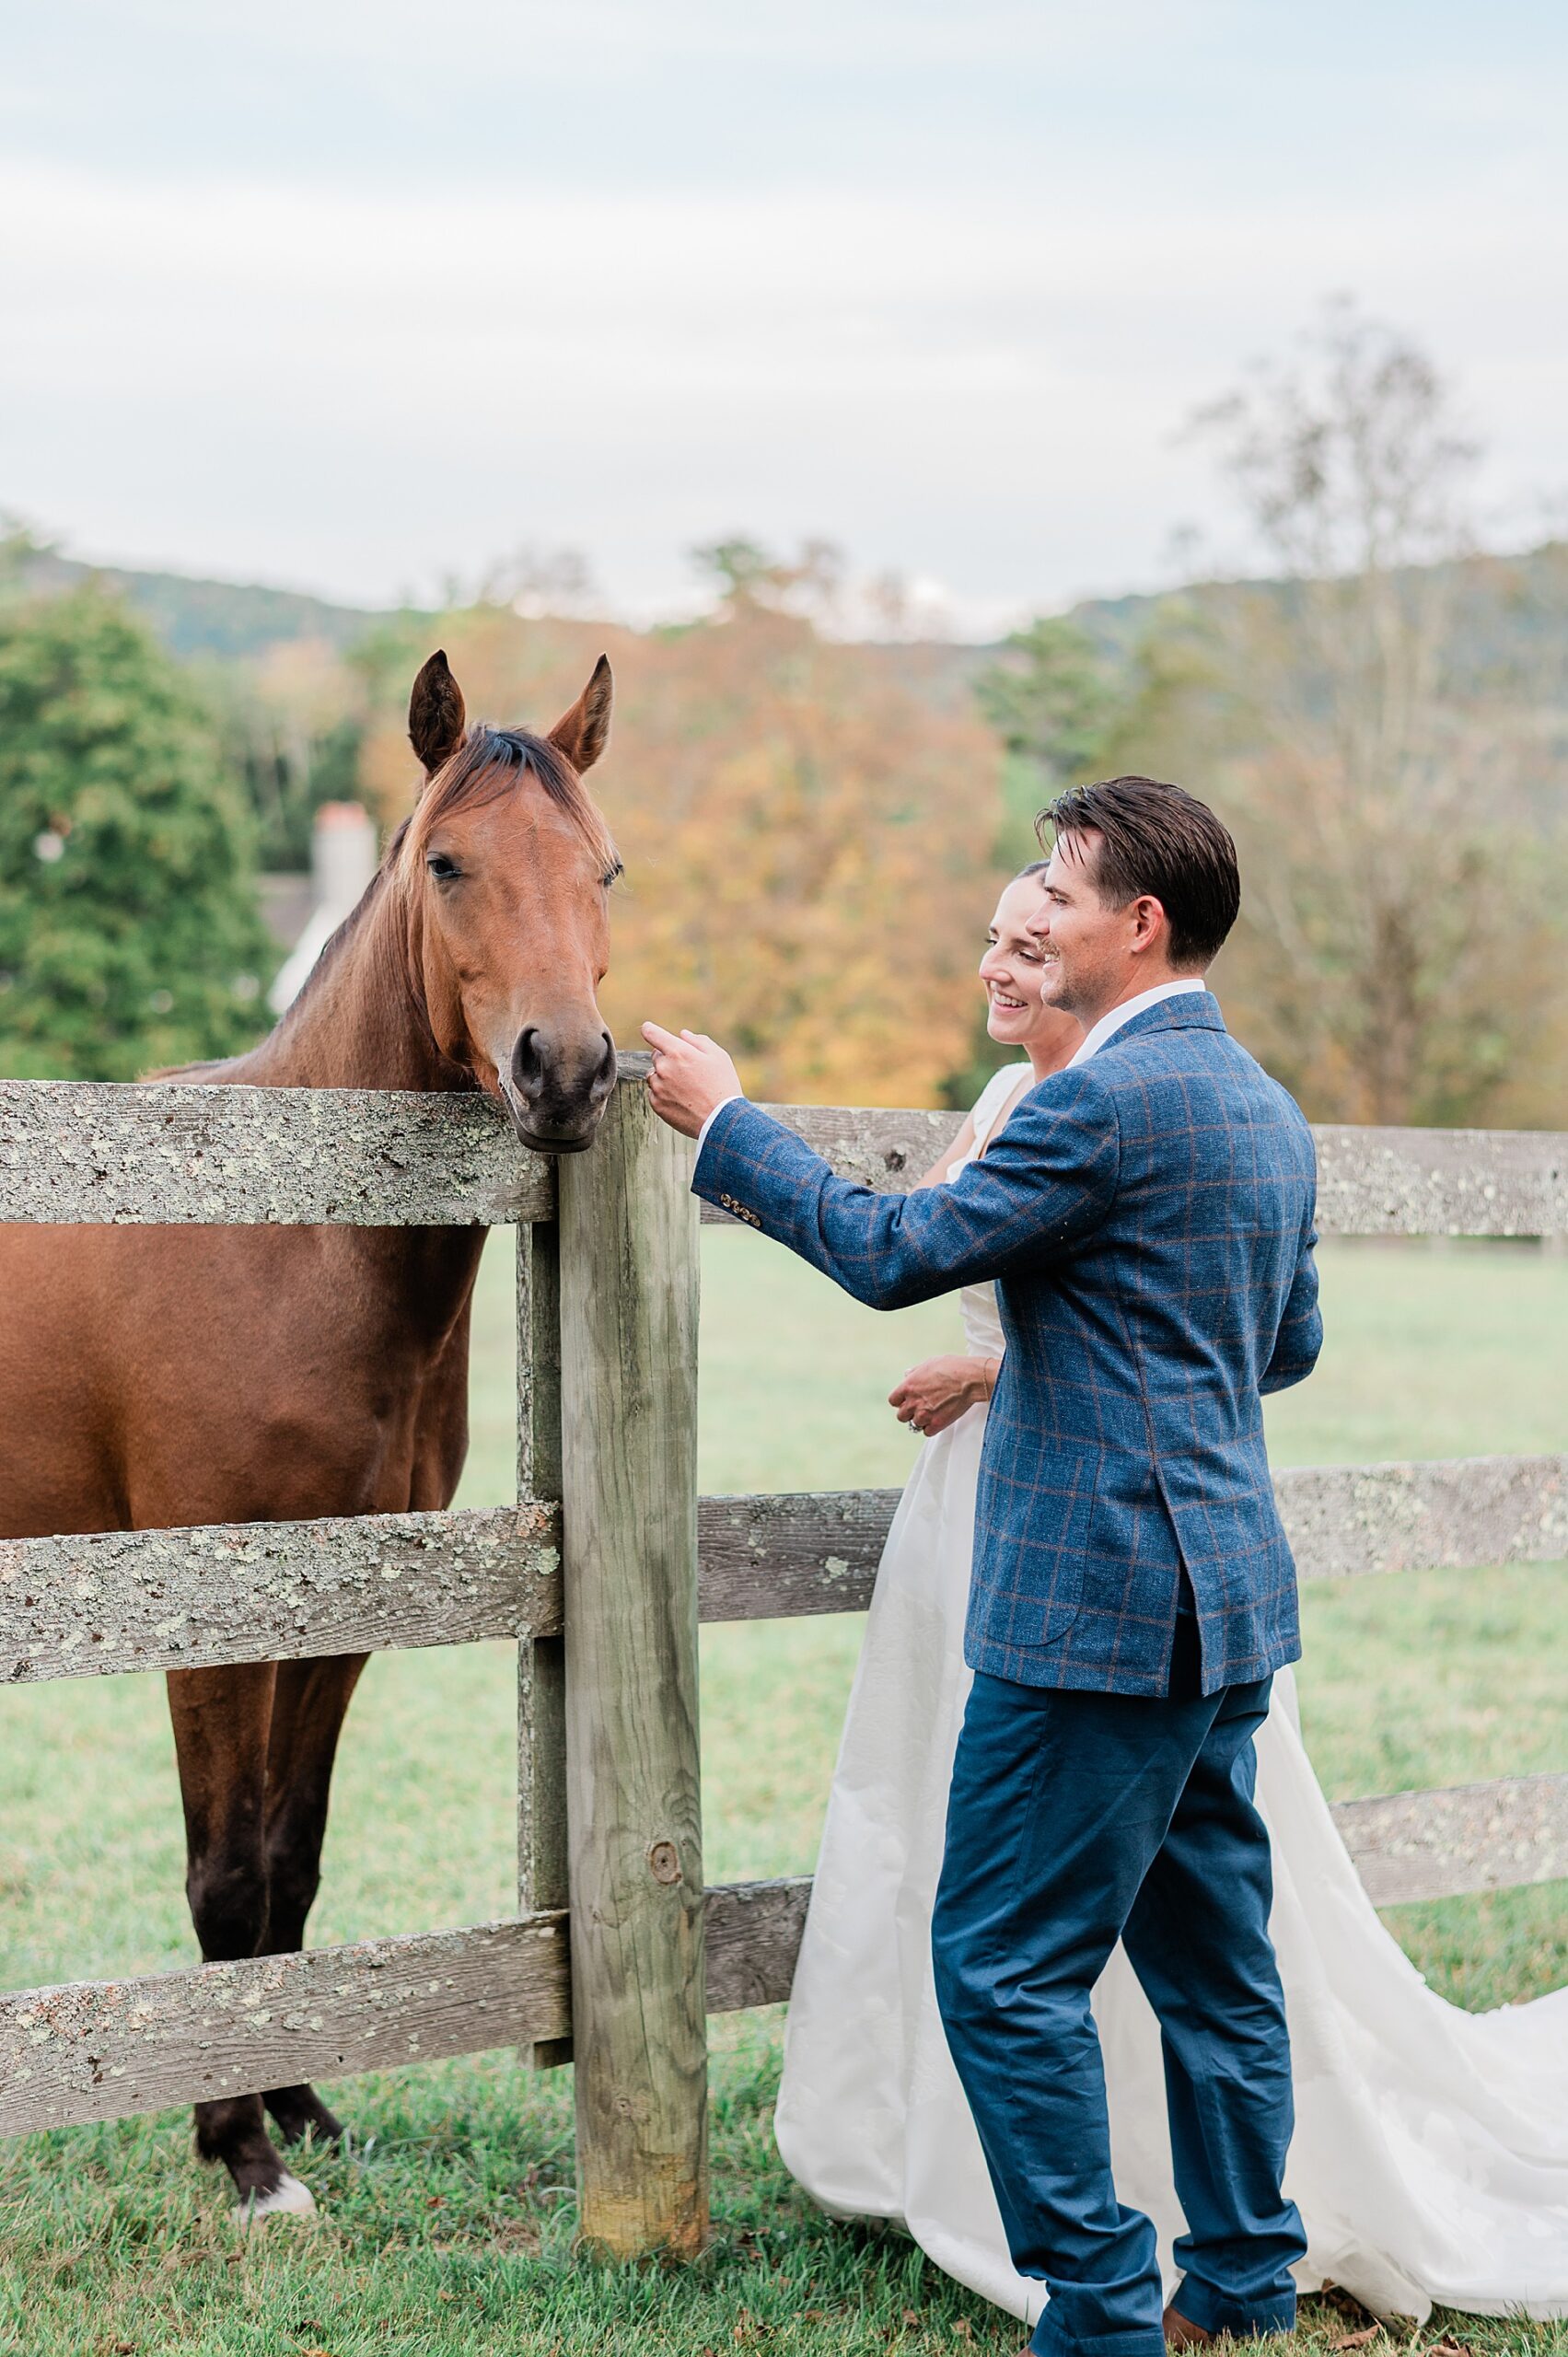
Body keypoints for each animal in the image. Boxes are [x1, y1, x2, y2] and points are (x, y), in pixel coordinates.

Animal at [0, 649, 619, 2217]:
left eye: (603, 868)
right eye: (447, 863)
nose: (567, 1072)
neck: (285, 1231)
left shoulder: (342, 1611)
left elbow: (290, 1861)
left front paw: (299, 2098)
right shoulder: (209, 1622)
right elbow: (224, 1874)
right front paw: (239, 2151)